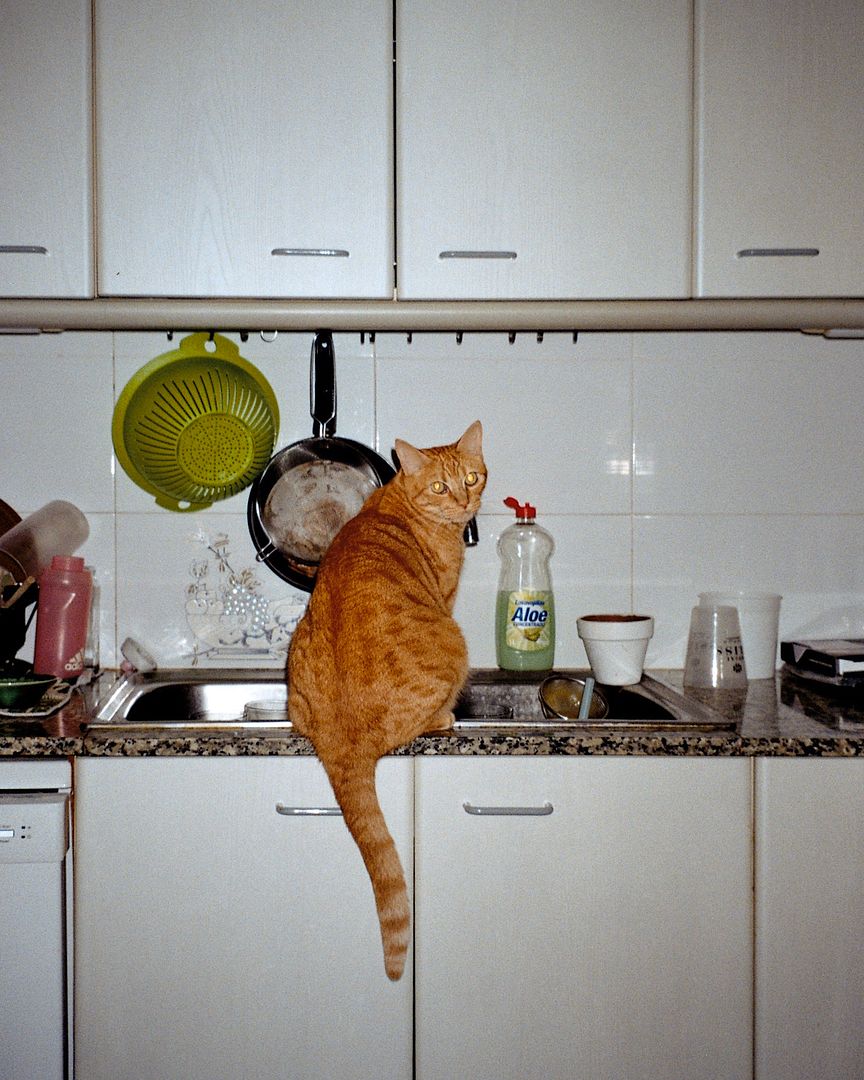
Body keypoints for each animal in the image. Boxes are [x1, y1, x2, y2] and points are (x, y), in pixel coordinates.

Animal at [289, 421, 486, 980]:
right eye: (440, 486)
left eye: (471, 477)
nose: (464, 502)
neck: (402, 500)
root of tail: (340, 742)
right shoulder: (447, 597)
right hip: (453, 641)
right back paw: (445, 715)